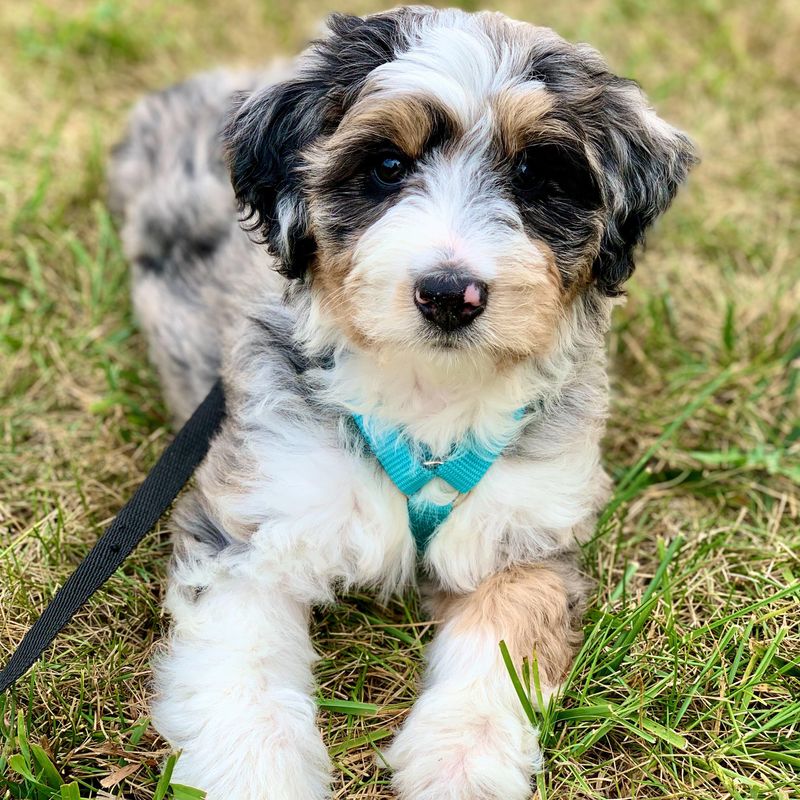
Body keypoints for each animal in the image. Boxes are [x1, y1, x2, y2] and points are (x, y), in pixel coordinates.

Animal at [109, 7, 696, 800]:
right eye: (387, 167)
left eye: (535, 176)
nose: (450, 294)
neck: (429, 393)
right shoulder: (252, 521)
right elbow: (244, 664)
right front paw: (262, 769)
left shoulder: (523, 533)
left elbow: (505, 642)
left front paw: (462, 760)